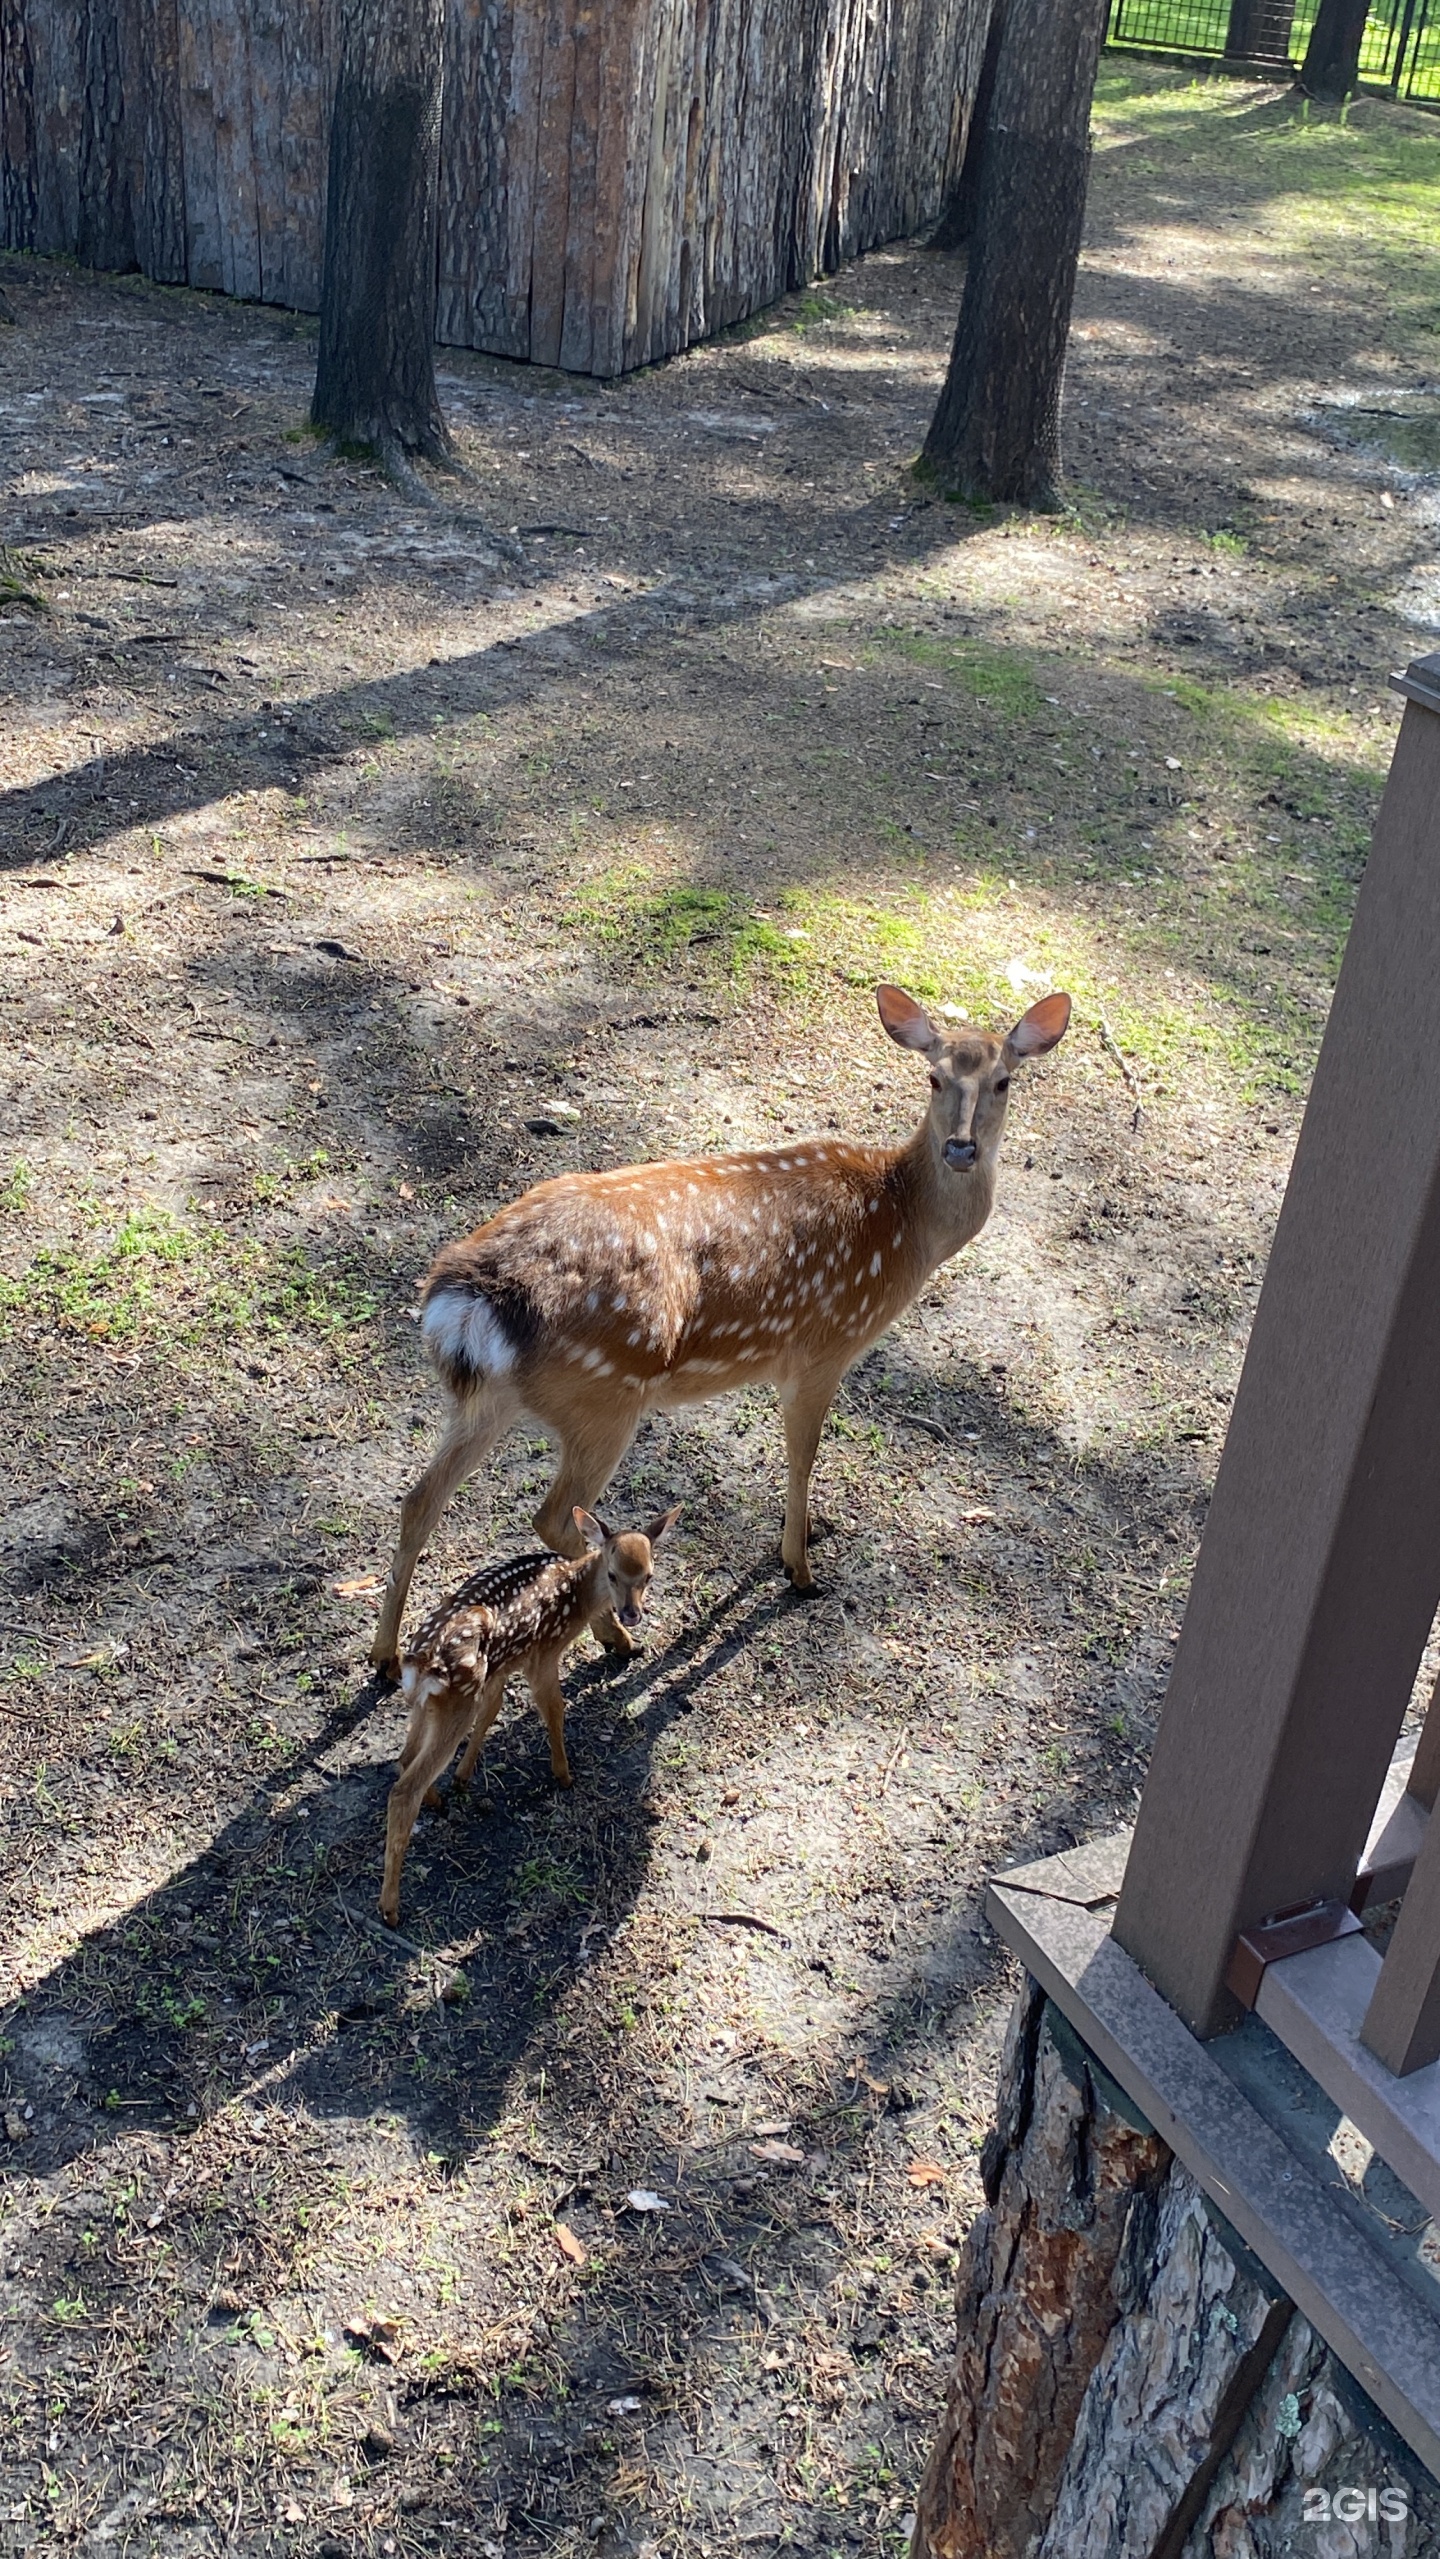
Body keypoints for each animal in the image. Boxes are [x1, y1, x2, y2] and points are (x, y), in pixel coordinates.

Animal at [370, 982, 1069, 1678]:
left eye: (1004, 1080)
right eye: (933, 1076)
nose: (961, 1149)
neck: (904, 1228)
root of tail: (469, 1296)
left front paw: (808, 1539)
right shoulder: (821, 1348)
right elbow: (803, 1457)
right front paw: (799, 1567)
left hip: (491, 1397)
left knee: (419, 1499)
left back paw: (386, 1656)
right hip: (604, 1397)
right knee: (554, 1518)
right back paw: (618, 1639)